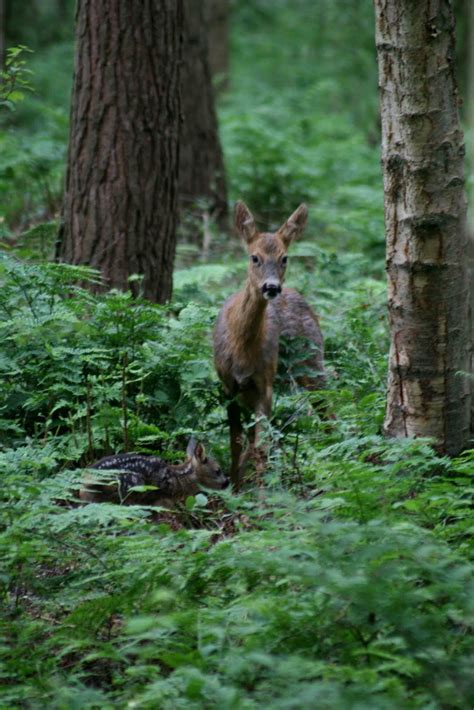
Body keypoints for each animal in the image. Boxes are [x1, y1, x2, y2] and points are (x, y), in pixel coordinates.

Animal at [78, 440, 229, 506]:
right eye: (217, 470)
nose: (227, 483)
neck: (177, 478)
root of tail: (86, 478)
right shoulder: (160, 499)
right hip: (130, 487)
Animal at [213, 202, 324, 490]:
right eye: (254, 257)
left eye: (285, 258)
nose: (271, 287)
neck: (242, 349)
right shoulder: (228, 386)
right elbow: (236, 443)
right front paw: (235, 488)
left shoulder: (265, 383)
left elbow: (261, 445)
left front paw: (263, 497)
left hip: (312, 361)